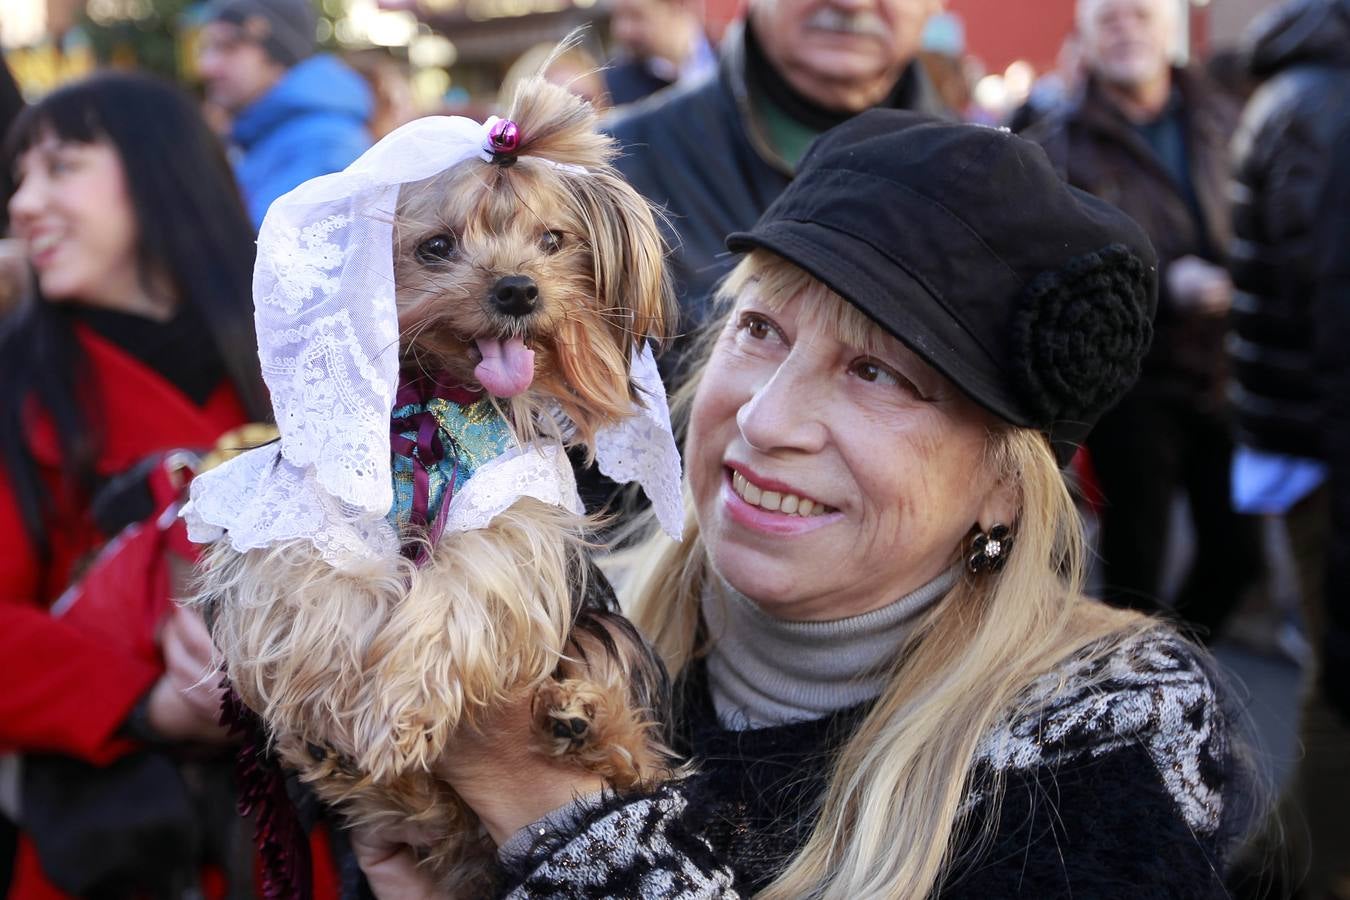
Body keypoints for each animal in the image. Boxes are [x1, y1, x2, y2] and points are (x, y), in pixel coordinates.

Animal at [195, 73, 680, 890]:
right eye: (437, 248)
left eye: (554, 242)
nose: (518, 289)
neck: (436, 403)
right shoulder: (303, 508)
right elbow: (310, 576)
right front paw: (326, 675)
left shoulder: (516, 517)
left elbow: (464, 584)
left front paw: (395, 708)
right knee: (426, 814)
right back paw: (336, 760)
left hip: (604, 637)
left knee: (632, 747)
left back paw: (581, 719)